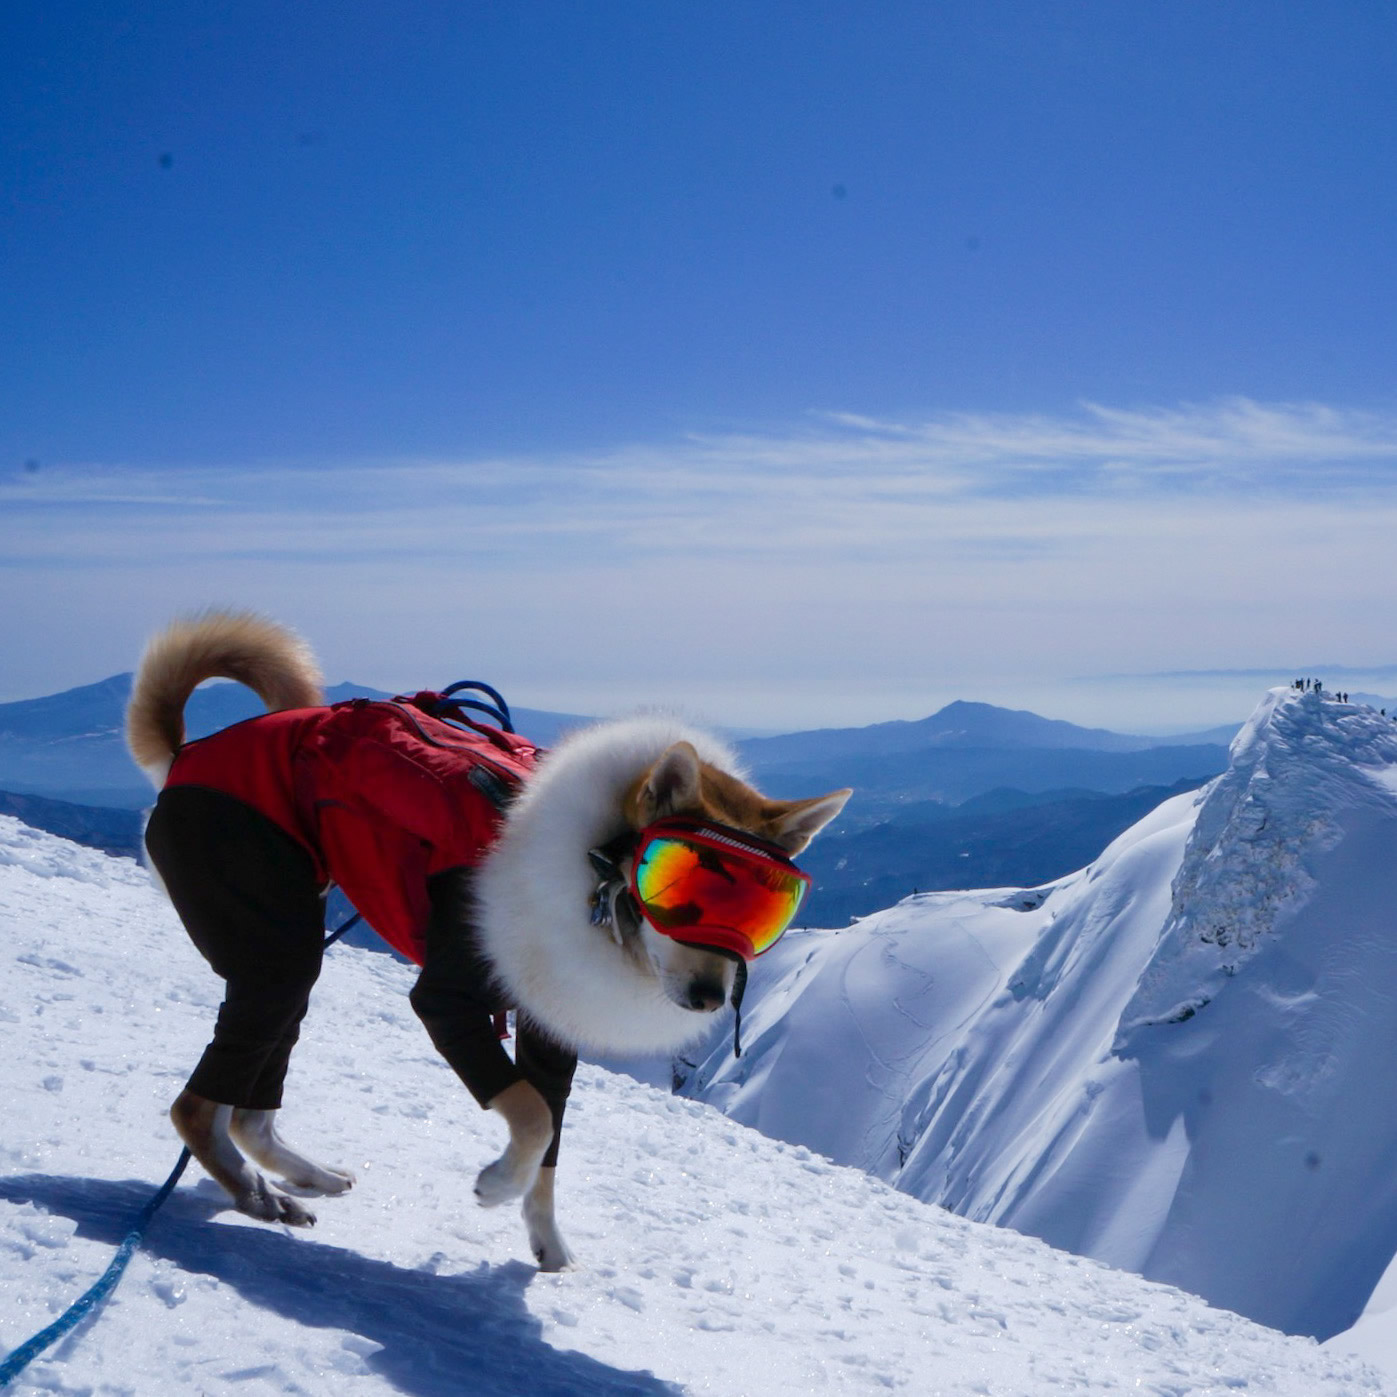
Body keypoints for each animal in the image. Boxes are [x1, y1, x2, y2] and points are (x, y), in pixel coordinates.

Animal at [128, 611, 849, 1268]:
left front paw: (546, 1240)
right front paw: (498, 1184)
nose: (708, 997)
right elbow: (530, 1114)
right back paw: (254, 1194)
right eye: (676, 886)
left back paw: (300, 1176)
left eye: (758, 913)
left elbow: (549, 1133)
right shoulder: (447, 1002)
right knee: (196, 1107)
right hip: (278, 949)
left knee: (248, 1109)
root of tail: (188, 754)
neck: (591, 877)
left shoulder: (552, 1024)